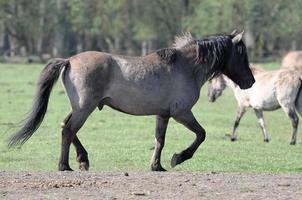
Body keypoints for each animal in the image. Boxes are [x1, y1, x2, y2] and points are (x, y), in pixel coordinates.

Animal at [8, 30, 255, 171]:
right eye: (242, 53)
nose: (250, 81)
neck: (186, 66)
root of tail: (69, 60)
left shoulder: (163, 115)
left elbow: (159, 141)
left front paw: (157, 166)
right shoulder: (182, 113)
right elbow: (201, 135)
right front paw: (178, 158)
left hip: (80, 108)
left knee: (65, 126)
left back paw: (82, 159)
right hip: (84, 109)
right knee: (68, 130)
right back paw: (65, 165)